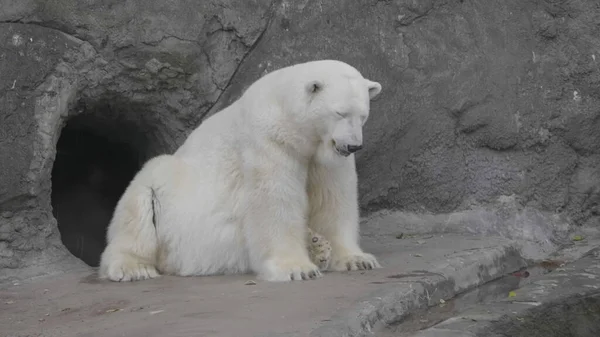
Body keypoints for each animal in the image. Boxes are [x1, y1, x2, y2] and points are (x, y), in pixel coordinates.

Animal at [97, 59, 380, 280]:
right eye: (340, 112)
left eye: (363, 115)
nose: (353, 145)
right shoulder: (267, 141)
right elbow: (273, 202)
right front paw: (297, 268)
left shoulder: (324, 157)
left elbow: (333, 199)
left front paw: (357, 259)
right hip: (162, 186)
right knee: (138, 208)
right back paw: (134, 269)